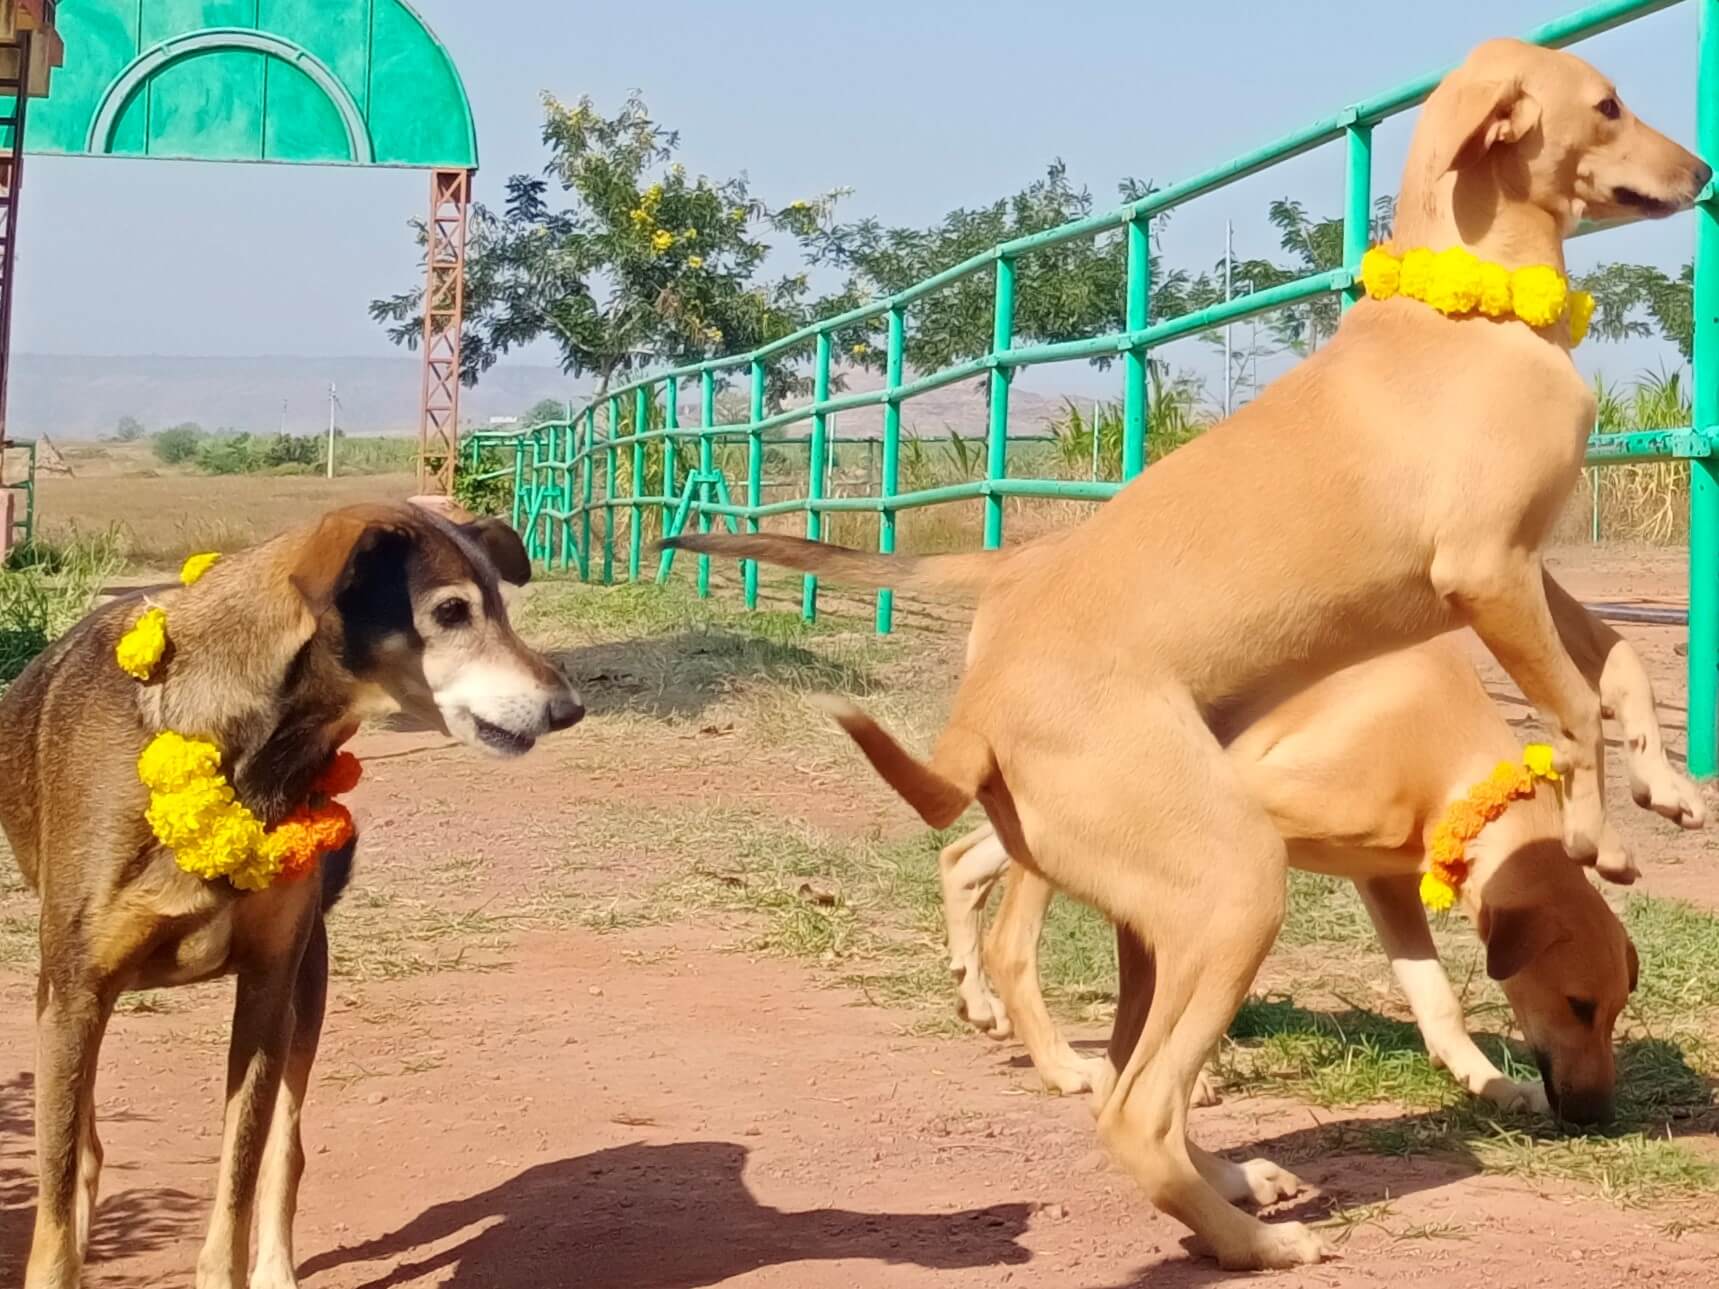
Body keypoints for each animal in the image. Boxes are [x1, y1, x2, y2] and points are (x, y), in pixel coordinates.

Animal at [0, 505, 584, 1289]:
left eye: (499, 605)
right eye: (450, 612)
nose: (568, 708)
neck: (249, 752)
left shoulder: (267, 987)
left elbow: (238, 1182)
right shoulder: (74, 993)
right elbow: (60, 1186)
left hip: (307, 990)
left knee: (286, 1151)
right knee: (85, 1146)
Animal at [942, 639, 1636, 1127]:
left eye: (1615, 1012)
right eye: (1578, 1004)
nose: (1600, 1117)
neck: (1439, 746)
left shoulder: (1384, 881)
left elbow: (1437, 1001)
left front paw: (1490, 1083)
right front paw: (1191, 1073)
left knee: (961, 855)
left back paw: (975, 995)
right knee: (1011, 941)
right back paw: (1060, 1063)